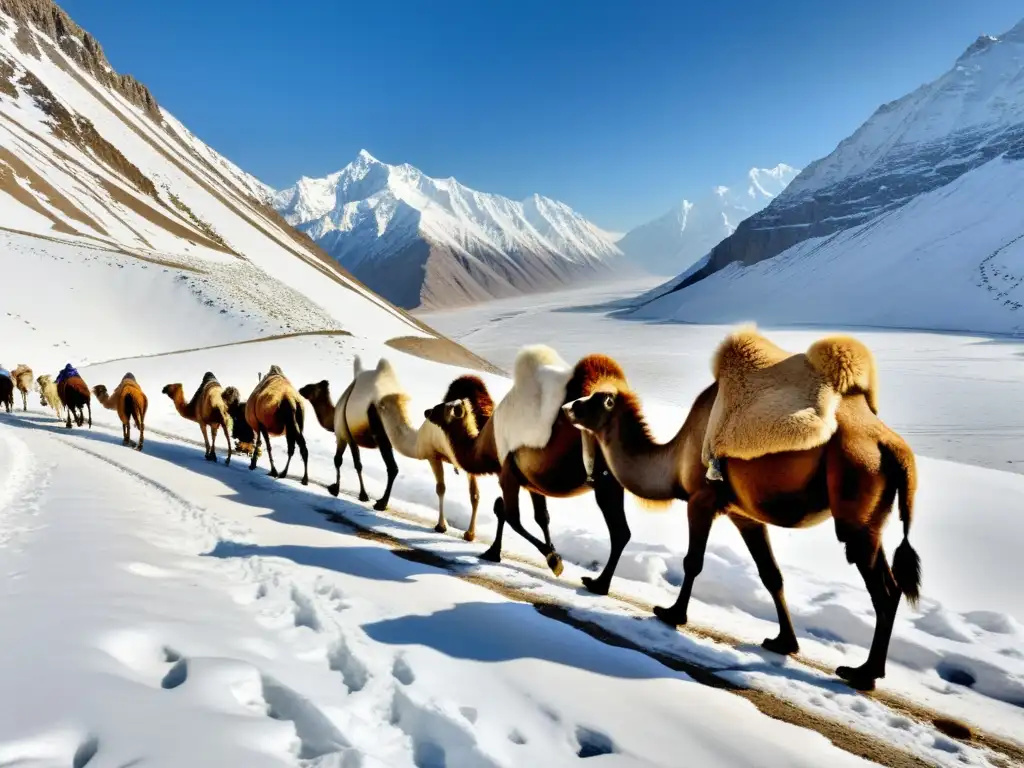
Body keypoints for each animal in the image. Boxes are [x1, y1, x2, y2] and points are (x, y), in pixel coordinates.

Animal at [423, 348, 630, 593]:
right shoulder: (531, 482)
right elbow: (541, 517)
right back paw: (600, 583)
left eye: (442, 407)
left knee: (619, 532)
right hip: (613, 482)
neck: (487, 444)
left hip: (603, 480)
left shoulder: (507, 473)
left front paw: (552, 560)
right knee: (622, 532)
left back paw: (599, 584)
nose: (427, 411)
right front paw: (545, 550)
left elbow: (510, 515)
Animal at [565, 329, 925, 692]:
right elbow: (771, 575)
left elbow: (693, 562)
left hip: (856, 497)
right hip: (871, 518)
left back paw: (862, 674)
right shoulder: (744, 514)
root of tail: (896, 449)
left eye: (594, 399)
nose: (568, 407)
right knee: (890, 585)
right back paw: (865, 669)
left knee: (884, 590)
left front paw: (672, 613)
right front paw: (784, 642)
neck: (675, 459)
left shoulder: (701, 499)